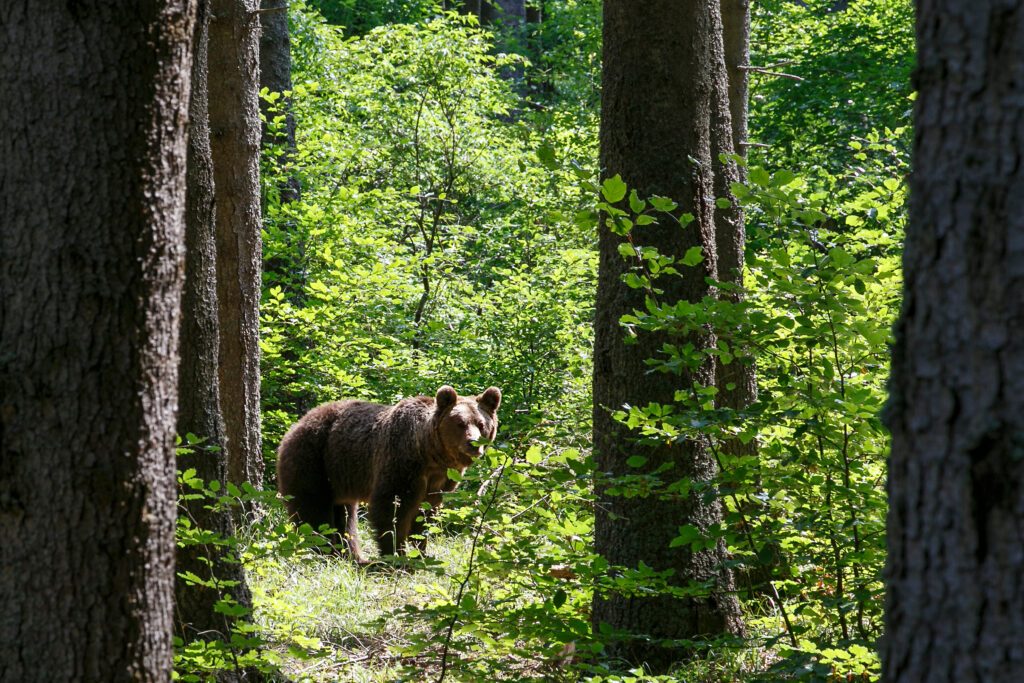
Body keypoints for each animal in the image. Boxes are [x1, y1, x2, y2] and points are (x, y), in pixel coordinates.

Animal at [278, 387, 501, 565]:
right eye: (460, 423)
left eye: (481, 424)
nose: (474, 443)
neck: (430, 454)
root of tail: (296, 424)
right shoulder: (401, 462)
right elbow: (392, 509)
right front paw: (396, 554)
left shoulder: (441, 480)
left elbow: (425, 515)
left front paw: (421, 553)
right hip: (313, 458)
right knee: (312, 510)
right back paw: (322, 551)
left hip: (340, 474)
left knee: (345, 516)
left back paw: (350, 555)